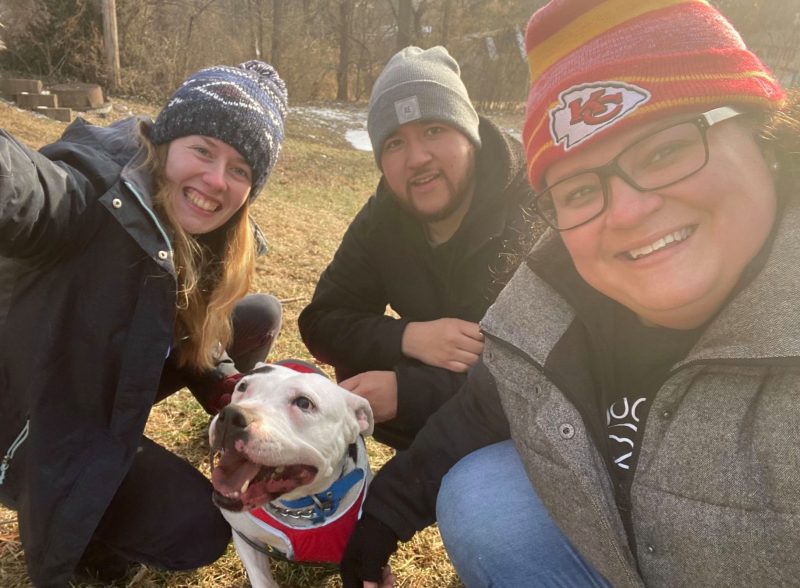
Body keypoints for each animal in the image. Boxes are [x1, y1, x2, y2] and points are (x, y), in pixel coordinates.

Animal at [208, 362, 374, 588]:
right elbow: (261, 579)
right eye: (242, 386)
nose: (231, 416)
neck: (300, 507)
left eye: (304, 403)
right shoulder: (245, 537)